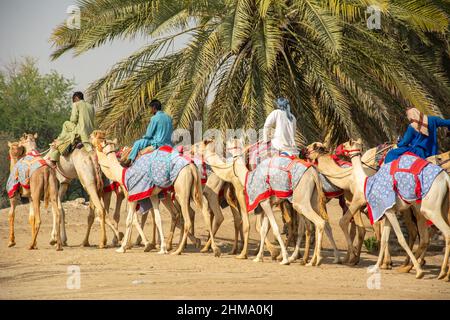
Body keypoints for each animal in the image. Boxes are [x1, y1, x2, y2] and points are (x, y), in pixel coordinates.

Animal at [199, 139, 340, 264]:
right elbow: (263, 229)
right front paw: (259, 257)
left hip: (300, 202)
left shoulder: (256, 199)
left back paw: (313, 260)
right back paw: (314, 259)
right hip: (313, 200)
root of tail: (313, 172)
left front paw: (279, 257)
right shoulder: (266, 203)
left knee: (317, 223)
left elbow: (267, 227)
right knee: (317, 224)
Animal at [342, 138, 448, 280]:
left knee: (438, 233)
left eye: (345, 144)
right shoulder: (387, 213)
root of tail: (446, 179)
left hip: (429, 210)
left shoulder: (386, 211)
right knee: (425, 236)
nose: (337, 148)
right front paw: (377, 266)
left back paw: (437, 272)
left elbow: (399, 238)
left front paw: (418, 272)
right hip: (439, 209)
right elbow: (384, 239)